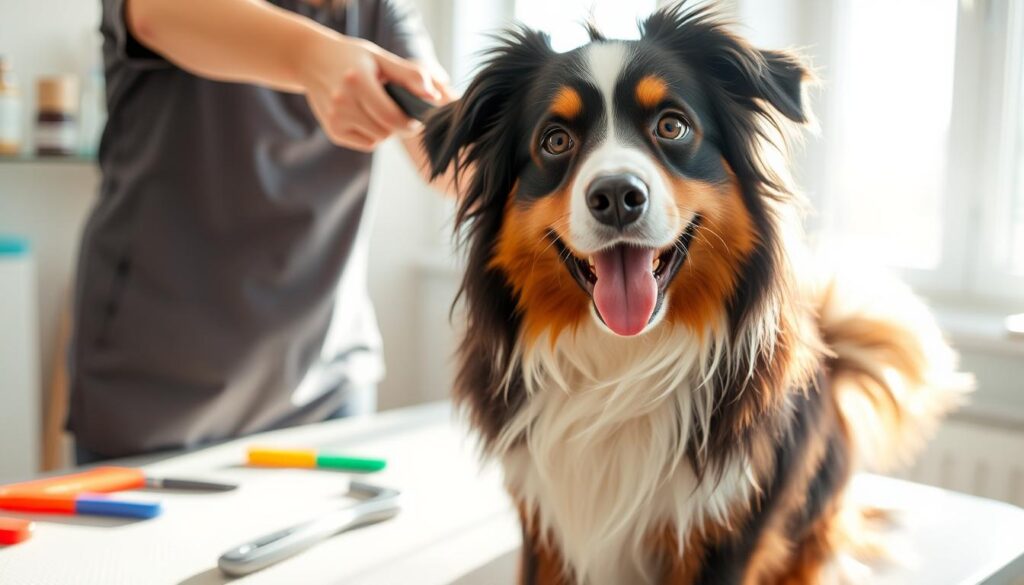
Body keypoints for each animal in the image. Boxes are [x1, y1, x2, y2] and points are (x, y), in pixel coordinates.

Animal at [419, 3, 970, 581]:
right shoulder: (545, 520)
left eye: (671, 125)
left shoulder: (726, 525)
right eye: (555, 140)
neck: (621, 362)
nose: (617, 195)